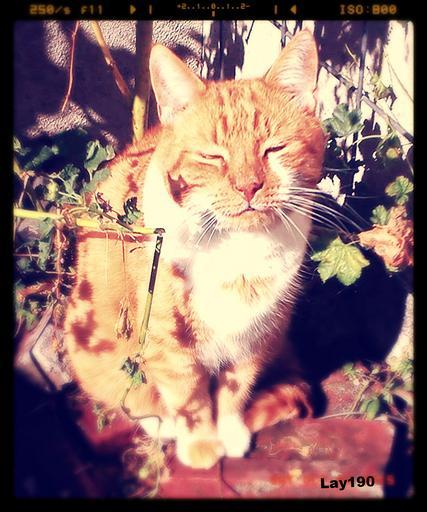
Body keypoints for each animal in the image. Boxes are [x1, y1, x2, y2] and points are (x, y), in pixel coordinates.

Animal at [64, 29, 326, 470]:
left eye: (274, 149)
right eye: (212, 157)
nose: (248, 186)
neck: (240, 252)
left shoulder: (255, 337)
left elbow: (236, 390)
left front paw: (231, 432)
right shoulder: (170, 344)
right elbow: (190, 397)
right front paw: (202, 445)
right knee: (132, 398)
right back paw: (161, 425)